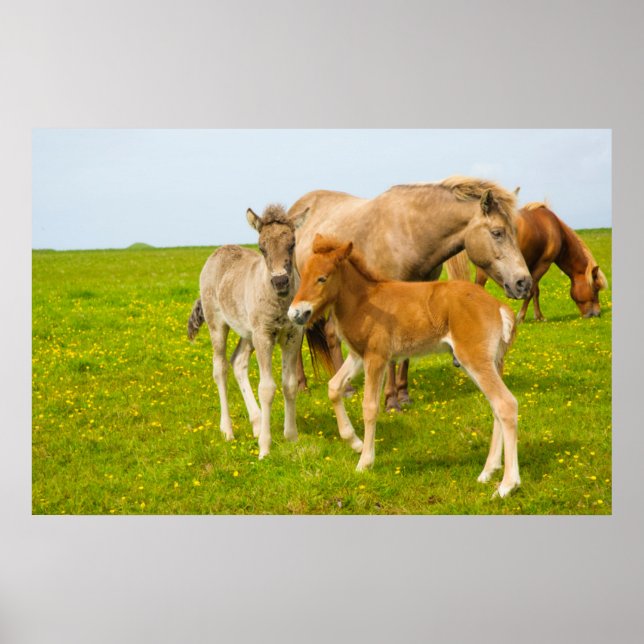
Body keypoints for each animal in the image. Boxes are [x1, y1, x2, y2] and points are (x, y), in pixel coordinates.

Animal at [187, 203, 310, 459]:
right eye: (261, 247)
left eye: (292, 243)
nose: (280, 282)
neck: (280, 303)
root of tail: (216, 253)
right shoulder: (264, 335)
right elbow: (267, 388)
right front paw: (265, 448)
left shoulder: (293, 335)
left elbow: (289, 384)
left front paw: (291, 437)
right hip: (218, 325)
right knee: (220, 368)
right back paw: (227, 430)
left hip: (248, 334)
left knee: (238, 362)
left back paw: (256, 422)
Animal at [288, 234, 521, 498]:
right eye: (303, 275)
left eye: (322, 278)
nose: (295, 313)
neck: (364, 300)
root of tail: (499, 307)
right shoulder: (358, 355)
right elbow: (334, 387)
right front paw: (354, 442)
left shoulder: (377, 357)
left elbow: (370, 407)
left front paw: (365, 462)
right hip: (491, 363)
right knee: (496, 408)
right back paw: (488, 472)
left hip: (475, 360)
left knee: (506, 404)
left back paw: (507, 484)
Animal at [289, 176, 531, 411]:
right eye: (497, 233)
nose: (523, 283)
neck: (410, 233)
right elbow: (391, 359)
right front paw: (391, 401)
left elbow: (405, 355)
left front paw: (403, 395)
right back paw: (303, 386)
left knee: (330, 333)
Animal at [474, 202, 608, 321]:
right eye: (596, 289)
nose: (597, 314)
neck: (556, 229)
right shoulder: (544, 264)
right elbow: (531, 290)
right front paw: (520, 318)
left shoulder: (533, 266)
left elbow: (535, 291)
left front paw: (539, 317)